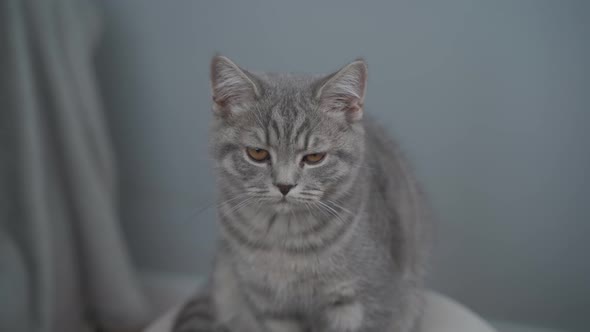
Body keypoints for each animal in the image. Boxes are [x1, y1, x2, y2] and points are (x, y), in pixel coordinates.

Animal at [173, 55, 432, 330]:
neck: (284, 240)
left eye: (314, 157)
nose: (284, 185)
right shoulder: (271, 305)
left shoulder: (367, 300)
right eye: (257, 153)